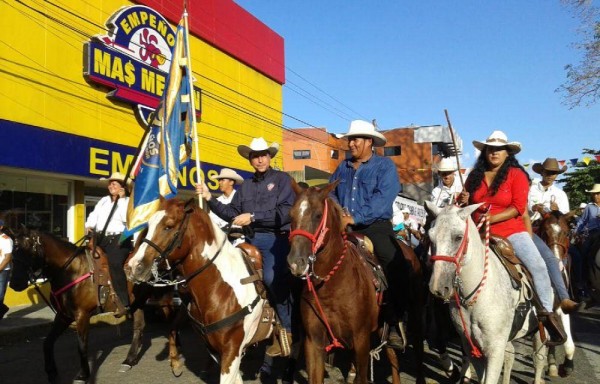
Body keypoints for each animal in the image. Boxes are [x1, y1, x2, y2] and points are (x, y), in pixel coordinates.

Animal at [8, 228, 183, 384]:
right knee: (139, 326)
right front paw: (51, 373)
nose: (15, 283)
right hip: (138, 302)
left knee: (172, 320)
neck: (71, 270)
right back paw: (129, 360)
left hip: (163, 298)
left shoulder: (82, 315)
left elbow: (82, 346)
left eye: (27, 250)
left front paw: (83, 375)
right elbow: (47, 342)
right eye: (13, 252)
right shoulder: (64, 315)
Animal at [288, 182, 424, 384]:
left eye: (318, 215)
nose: (296, 262)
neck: (332, 286)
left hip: (415, 313)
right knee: (392, 356)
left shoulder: (361, 340)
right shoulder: (314, 342)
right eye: (291, 214)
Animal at [424, 202, 548, 382]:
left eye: (458, 237)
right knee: (511, 355)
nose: (438, 287)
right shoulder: (471, 346)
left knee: (538, 359)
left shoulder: (495, 349)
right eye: (430, 237)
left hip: (541, 332)